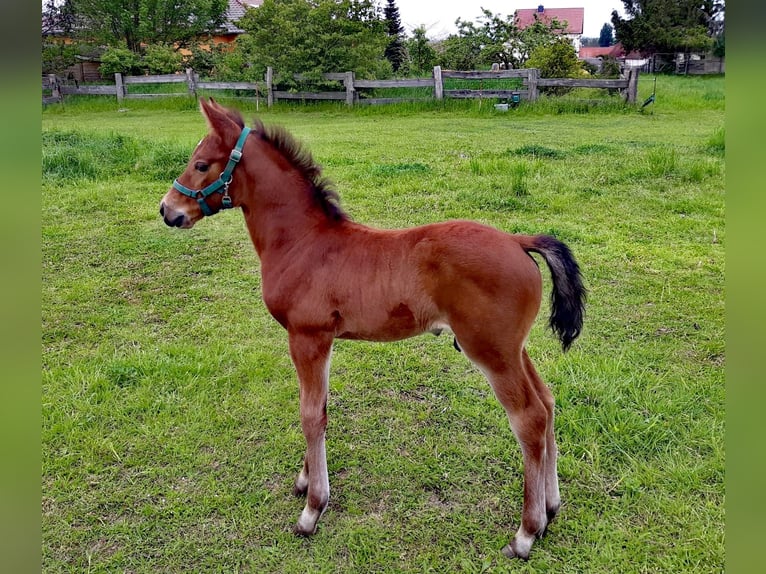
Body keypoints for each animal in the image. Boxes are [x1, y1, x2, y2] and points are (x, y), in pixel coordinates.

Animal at [159, 99, 584, 564]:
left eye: (201, 164)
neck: (303, 242)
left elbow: (310, 414)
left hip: (491, 352)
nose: (167, 210)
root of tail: (517, 240)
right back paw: (551, 507)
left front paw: (312, 510)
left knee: (529, 419)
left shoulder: (306, 337)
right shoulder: (322, 341)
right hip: (514, 349)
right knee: (547, 404)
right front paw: (305, 482)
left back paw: (526, 533)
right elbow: (321, 408)